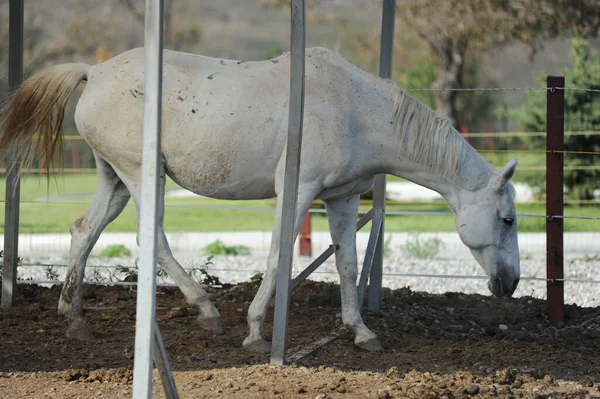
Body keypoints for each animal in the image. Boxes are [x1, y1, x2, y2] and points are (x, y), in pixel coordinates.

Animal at [0, 46, 520, 354]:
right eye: (508, 219)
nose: (511, 284)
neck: (355, 108)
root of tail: (93, 72)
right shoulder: (298, 192)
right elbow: (276, 258)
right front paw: (255, 331)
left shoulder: (342, 201)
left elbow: (348, 265)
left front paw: (361, 331)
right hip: (142, 178)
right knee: (154, 240)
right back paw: (206, 311)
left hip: (116, 182)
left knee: (84, 231)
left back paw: (74, 318)